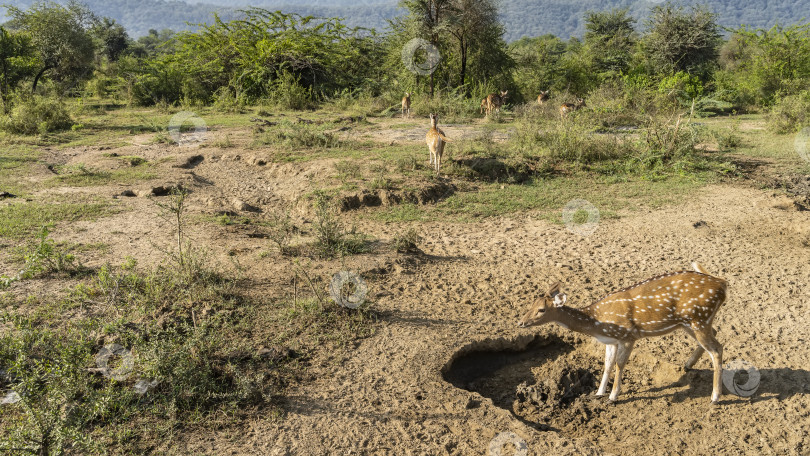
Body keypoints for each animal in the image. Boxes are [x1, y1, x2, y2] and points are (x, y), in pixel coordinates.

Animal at [516, 264, 724, 402]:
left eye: (541, 310)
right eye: (531, 304)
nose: (521, 322)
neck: (596, 322)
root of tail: (723, 285)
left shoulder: (628, 336)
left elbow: (619, 364)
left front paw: (613, 396)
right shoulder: (611, 340)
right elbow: (607, 364)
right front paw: (599, 393)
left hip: (698, 318)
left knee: (717, 348)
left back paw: (715, 396)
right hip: (693, 322)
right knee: (714, 336)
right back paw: (688, 365)